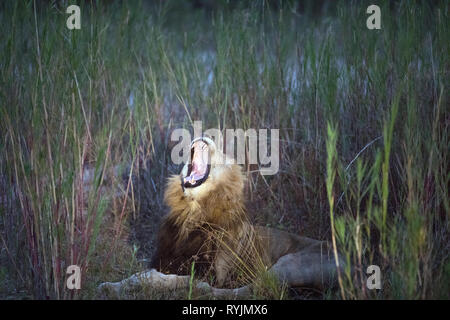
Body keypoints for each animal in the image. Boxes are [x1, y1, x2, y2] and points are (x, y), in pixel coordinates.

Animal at [150, 136, 342, 288]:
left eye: (223, 153)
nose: (204, 134)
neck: (193, 210)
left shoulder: (215, 275)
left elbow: (182, 279)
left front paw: (147, 278)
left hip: (288, 265)